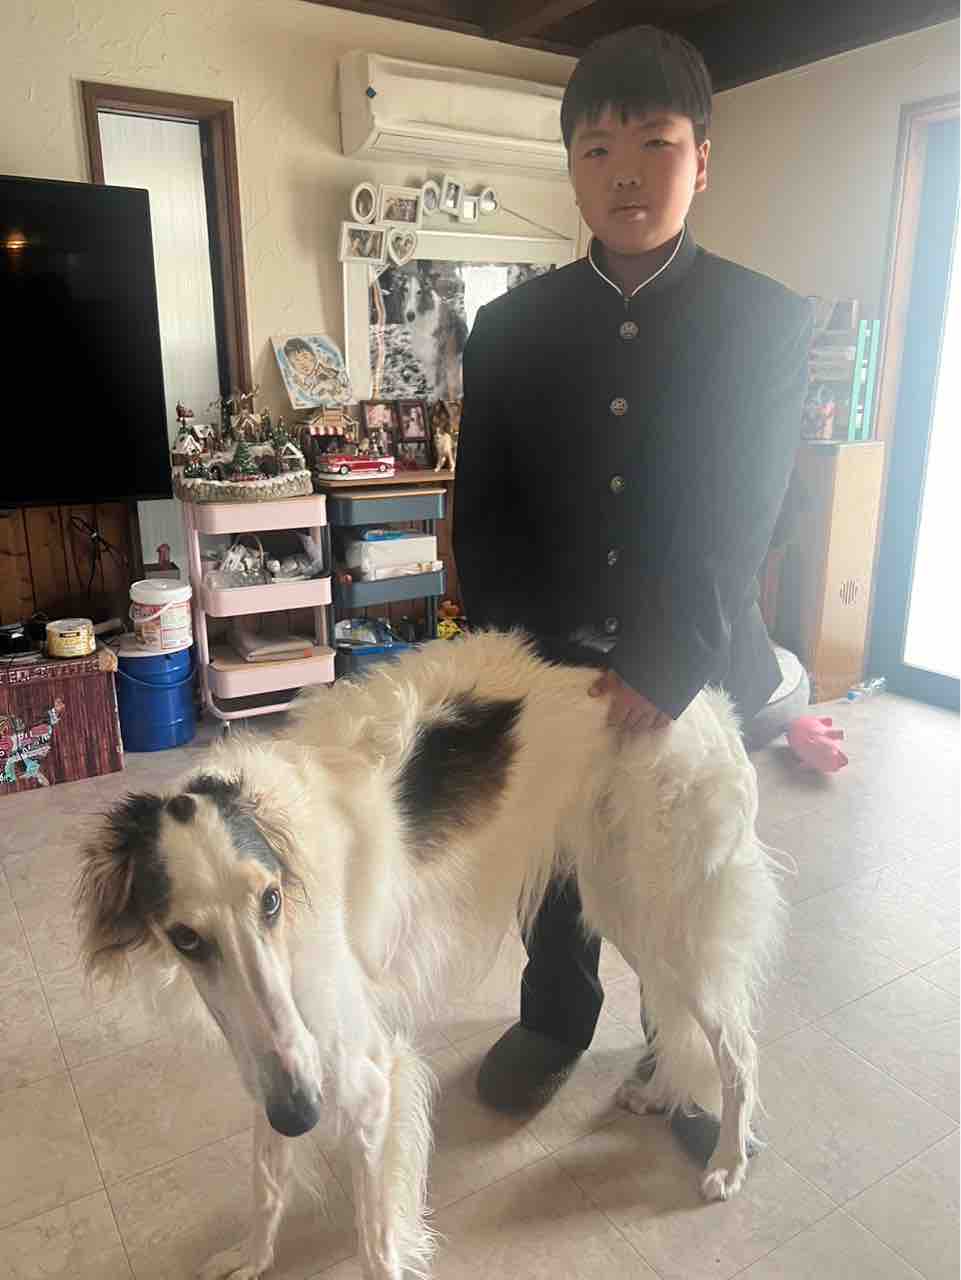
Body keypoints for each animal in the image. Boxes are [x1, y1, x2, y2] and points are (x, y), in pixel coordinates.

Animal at [75, 631, 782, 1279]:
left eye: (270, 900)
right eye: (186, 938)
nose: (302, 1114)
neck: (284, 840)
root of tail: (706, 703)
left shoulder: (365, 1076)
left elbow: (375, 1244)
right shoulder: (273, 1060)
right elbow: (267, 1176)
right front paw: (250, 1260)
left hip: (665, 916)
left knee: (739, 1049)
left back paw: (727, 1161)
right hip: (625, 908)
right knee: (678, 1020)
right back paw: (661, 1093)